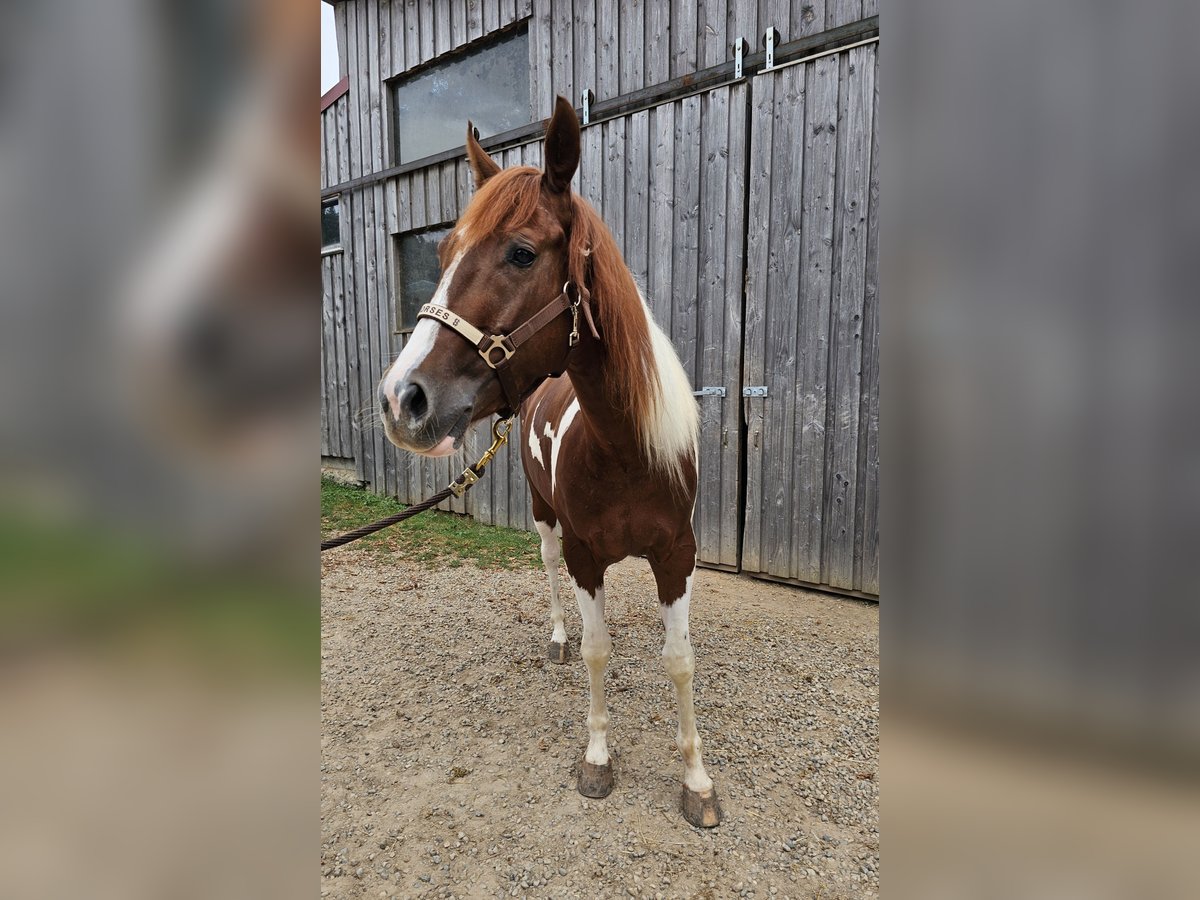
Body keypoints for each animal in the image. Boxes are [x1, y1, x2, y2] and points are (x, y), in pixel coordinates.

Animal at [384, 97, 715, 825]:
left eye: (521, 253)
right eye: (442, 252)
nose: (402, 400)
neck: (625, 450)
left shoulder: (676, 554)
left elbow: (679, 661)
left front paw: (698, 780)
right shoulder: (587, 555)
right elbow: (596, 652)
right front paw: (597, 758)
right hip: (543, 519)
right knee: (549, 572)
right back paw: (558, 635)